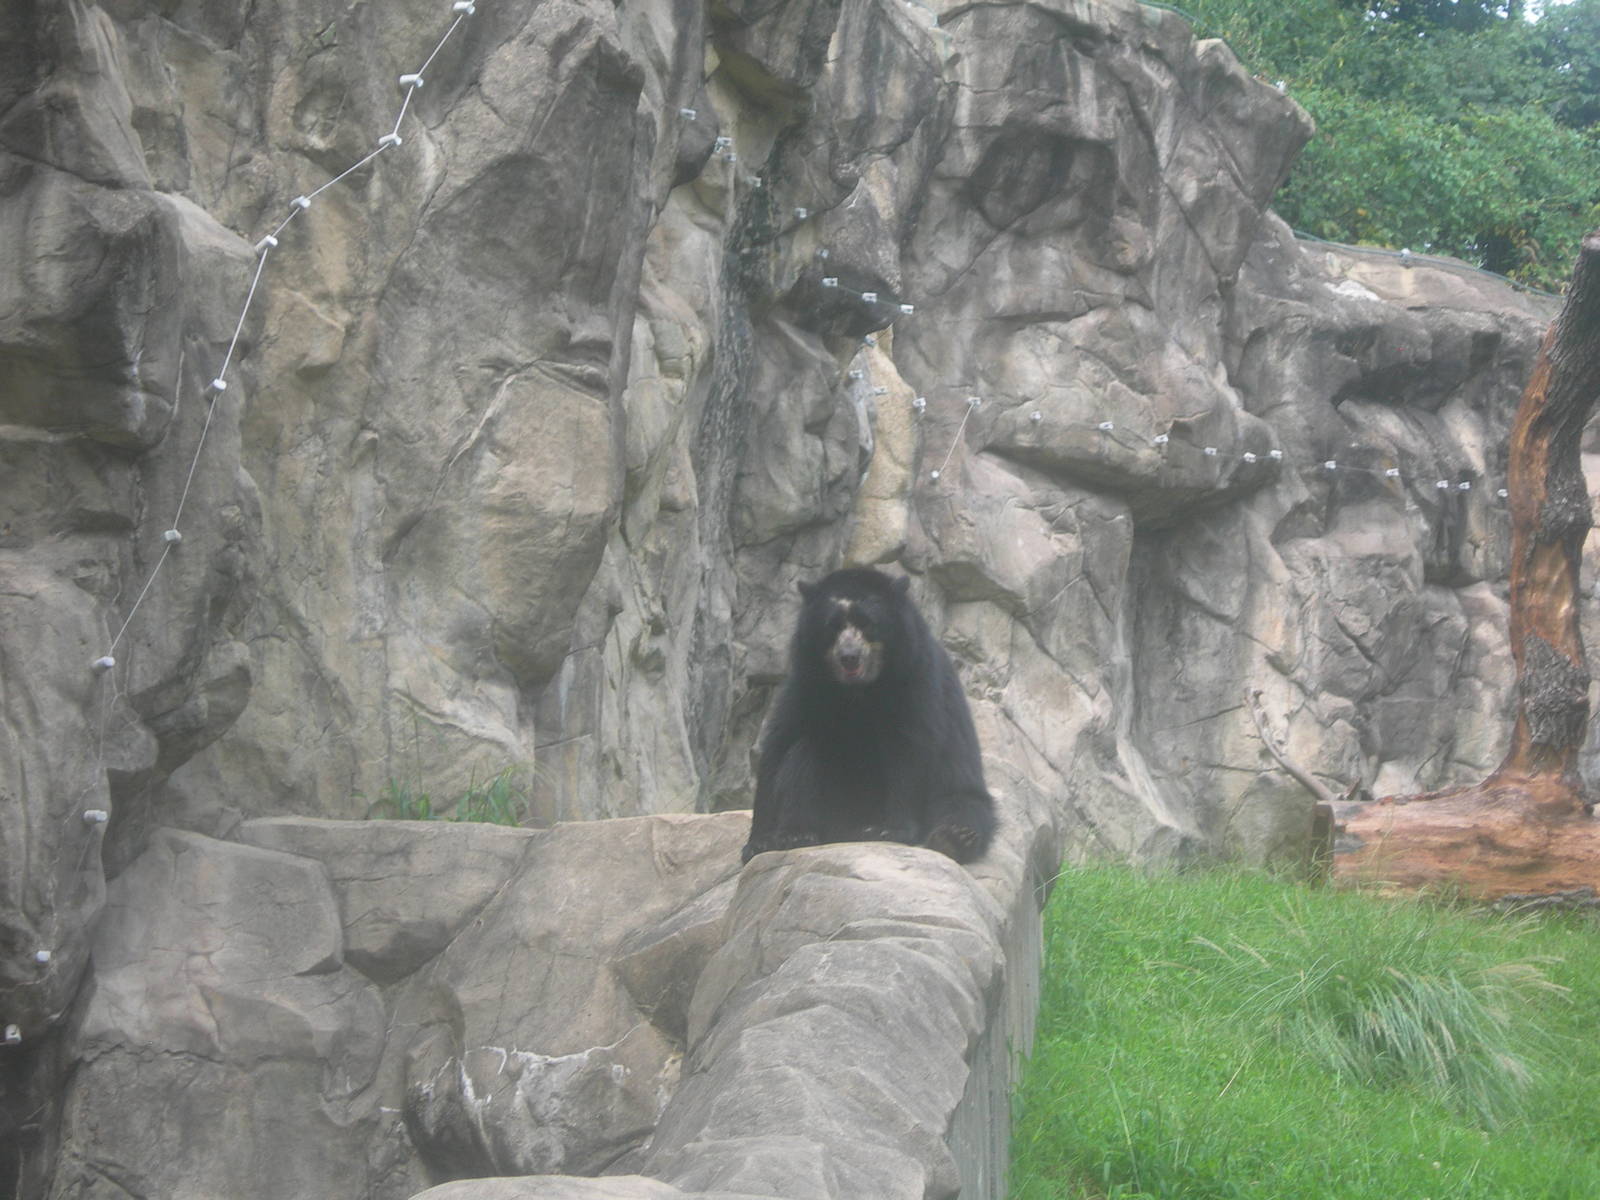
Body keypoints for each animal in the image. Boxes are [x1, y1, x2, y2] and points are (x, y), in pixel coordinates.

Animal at [741, 566, 997, 865]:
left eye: (867, 624)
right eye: (833, 626)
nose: (849, 657)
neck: (859, 691)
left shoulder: (917, 681)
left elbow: (910, 752)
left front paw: (891, 830)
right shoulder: (806, 684)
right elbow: (779, 746)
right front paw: (758, 843)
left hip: (959, 788)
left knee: (965, 806)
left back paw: (954, 838)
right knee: (802, 755)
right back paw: (797, 834)